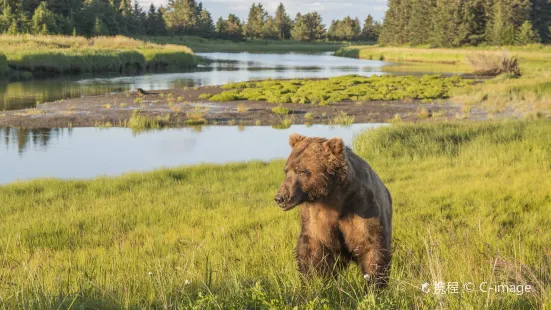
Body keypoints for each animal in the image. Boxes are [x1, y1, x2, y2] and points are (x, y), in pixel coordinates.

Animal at [274, 133, 392, 286]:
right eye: (286, 171)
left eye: (301, 171)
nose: (280, 198)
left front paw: (374, 284)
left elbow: (371, 244)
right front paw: (311, 281)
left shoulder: (363, 206)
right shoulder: (316, 216)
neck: (333, 195)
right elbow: (312, 249)